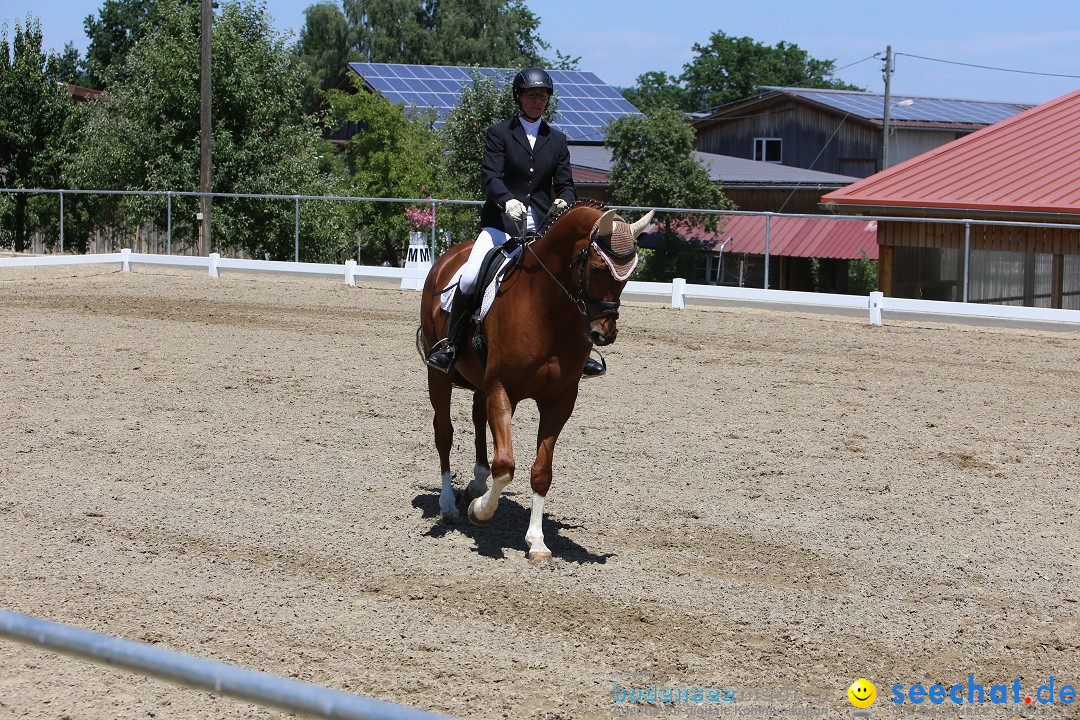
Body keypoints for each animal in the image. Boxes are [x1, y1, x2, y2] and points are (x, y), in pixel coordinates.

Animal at [416, 201, 652, 561]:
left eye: (629, 276)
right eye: (598, 269)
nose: (604, 334)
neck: (548, 307)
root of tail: (450, 256)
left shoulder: (560, 399)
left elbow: (541, 471)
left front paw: (537, 542)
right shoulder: (502, 388)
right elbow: (505, 465)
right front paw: (479, 511)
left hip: (481, 382)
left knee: (478, 416)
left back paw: (476, 482)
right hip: (438, 376)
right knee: (444, 432)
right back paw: (449, 505)